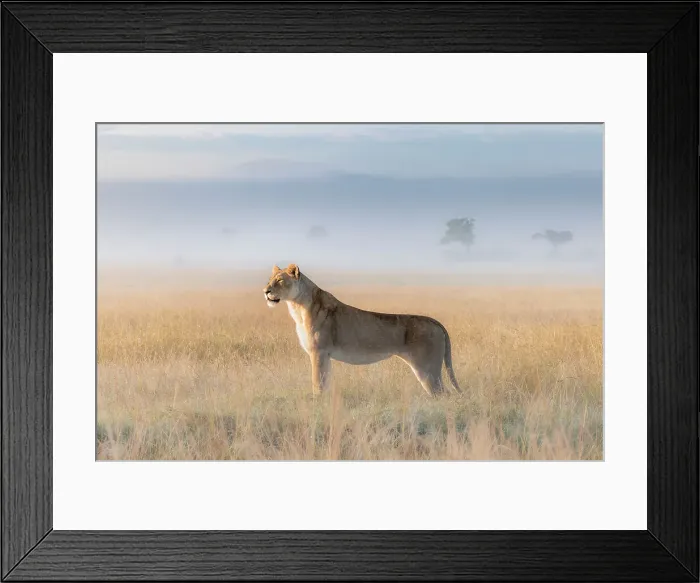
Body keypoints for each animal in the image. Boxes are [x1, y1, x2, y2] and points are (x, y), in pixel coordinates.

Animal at [262, 264, 462, 396]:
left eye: (280, 280)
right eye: (269, 280)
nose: (265, 291)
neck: (298, 307)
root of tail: (436, 322)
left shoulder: (318, 352)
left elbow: (317, 384)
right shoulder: (325, 355)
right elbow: (325, 383)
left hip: (427, 370)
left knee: (444, 394)